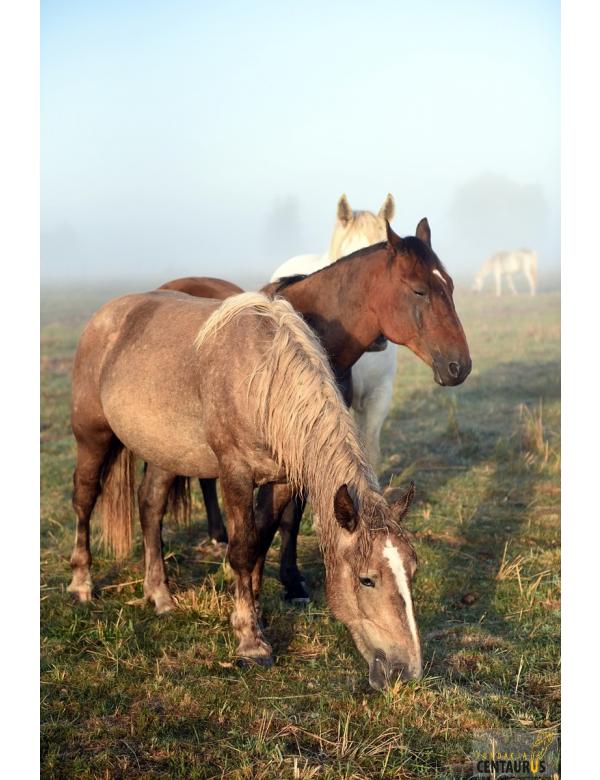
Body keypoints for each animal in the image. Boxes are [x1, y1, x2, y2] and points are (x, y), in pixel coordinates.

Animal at [67, 292, 422, 688]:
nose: (406, 670)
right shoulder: (234, 475)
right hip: (92, 435)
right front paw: (250, 642)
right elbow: (241, 551)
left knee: (150, 505)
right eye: (367, 580)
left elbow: (260, 542)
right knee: (84, 499)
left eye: (413, 571)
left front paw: (257, 614)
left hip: (164, 452)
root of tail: (106, 315)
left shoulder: (281, 481)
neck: (263, 380)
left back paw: (159, 594)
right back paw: (81, 583)